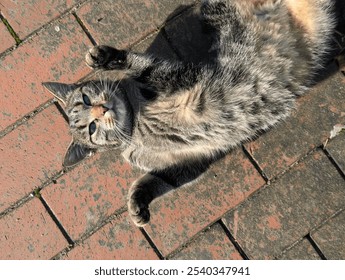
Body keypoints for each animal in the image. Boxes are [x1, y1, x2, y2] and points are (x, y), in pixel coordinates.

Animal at [42, 0, 334, 226]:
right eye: (92, 129)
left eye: (86, 98)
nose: (101, 109)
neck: (135, 127)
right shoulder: (191, 160)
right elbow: (158, 180)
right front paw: (137, 202)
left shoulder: (180, 77)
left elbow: (142, 66)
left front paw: (106, 58)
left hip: (217, 11)